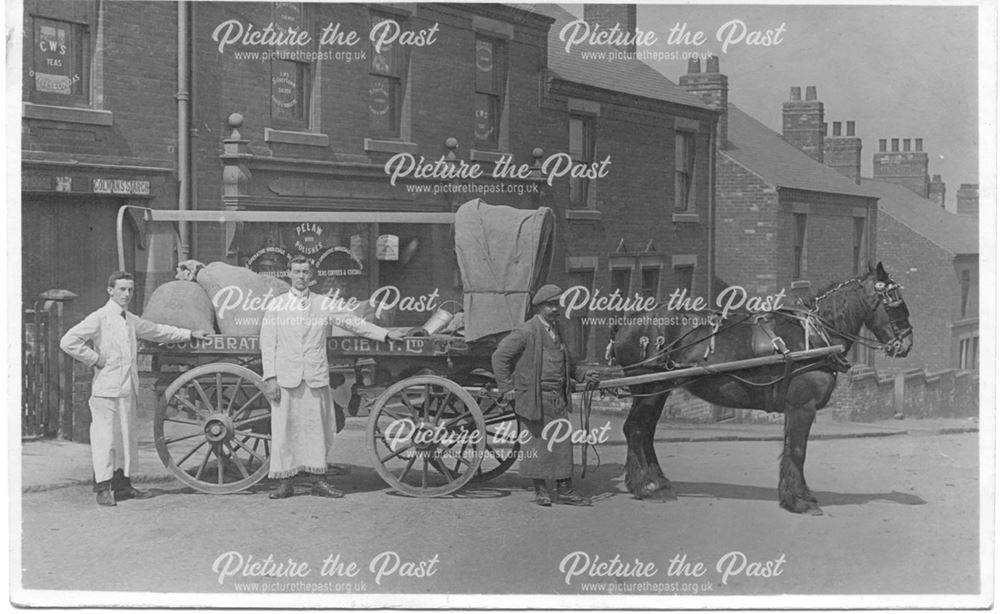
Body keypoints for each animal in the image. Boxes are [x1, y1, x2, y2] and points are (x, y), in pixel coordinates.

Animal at [608, 262, 916, 516]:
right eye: (895, 303)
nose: (907, 343)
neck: (814, 336)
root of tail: (629, 321)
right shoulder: (802, 406)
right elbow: (798, 450)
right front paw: (799, 500)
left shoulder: (795, 408)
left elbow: (792, 449)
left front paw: (796, 495)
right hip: (649, 386)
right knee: (635, 429)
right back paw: (645, 486)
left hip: (658, 390)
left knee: (645, 432)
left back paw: (657, 482)